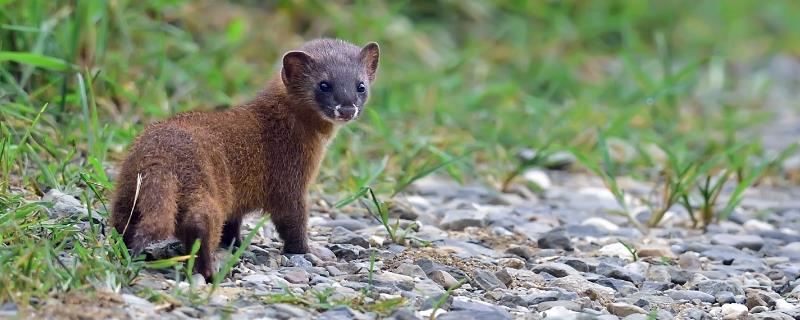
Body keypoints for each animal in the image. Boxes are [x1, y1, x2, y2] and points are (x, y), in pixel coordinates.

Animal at [110, 38, 382, 280]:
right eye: (324, 85)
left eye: (361, 86)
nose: (346, 108)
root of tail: (160, 157)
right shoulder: (289, 177)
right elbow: (292, 219)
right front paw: (307, 250)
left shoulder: (238, 197)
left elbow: (233, 222)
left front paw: (235, 243)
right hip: (204, 185)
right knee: (201, 224)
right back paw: (210, 272)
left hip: (128, 189)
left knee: (124, 221)